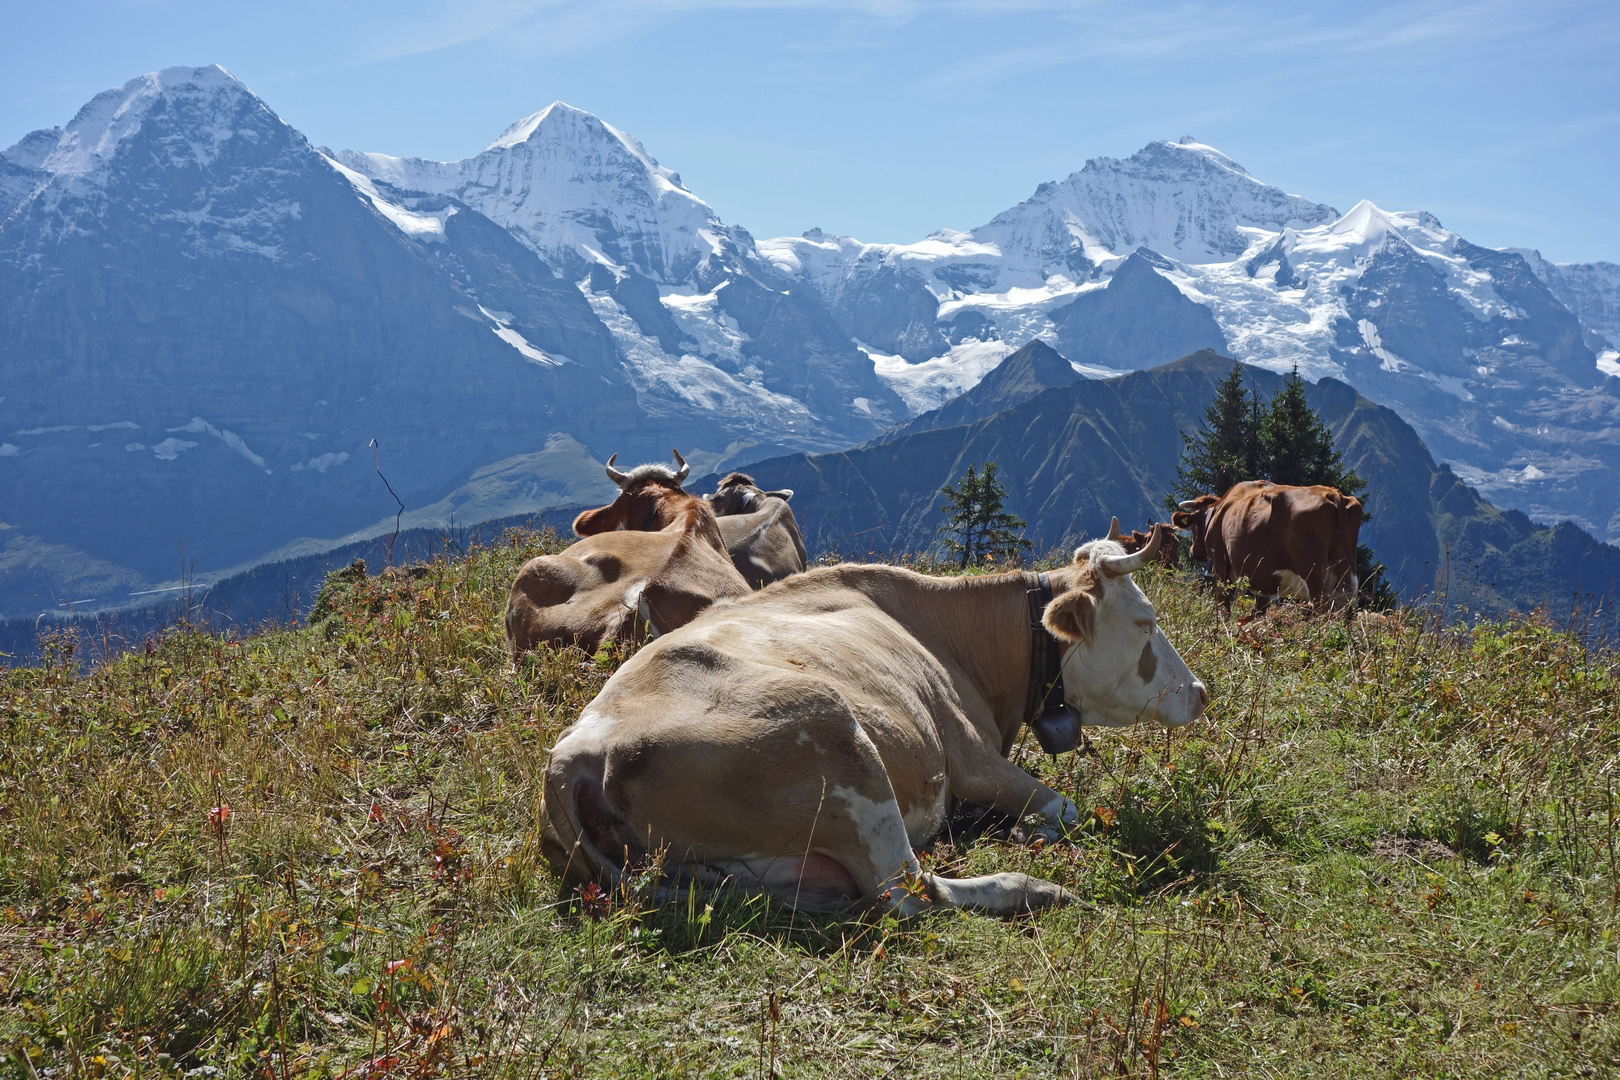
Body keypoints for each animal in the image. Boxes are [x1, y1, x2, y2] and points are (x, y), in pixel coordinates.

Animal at [1172, 479, 1360, 612]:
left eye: (1193, 527)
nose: (1192, 551)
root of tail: (1332, 493)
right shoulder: (1264, 579)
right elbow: (1258, 612)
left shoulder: (1220, 564)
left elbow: (1223, 606)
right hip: (1344, 578)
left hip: (1313, 574)